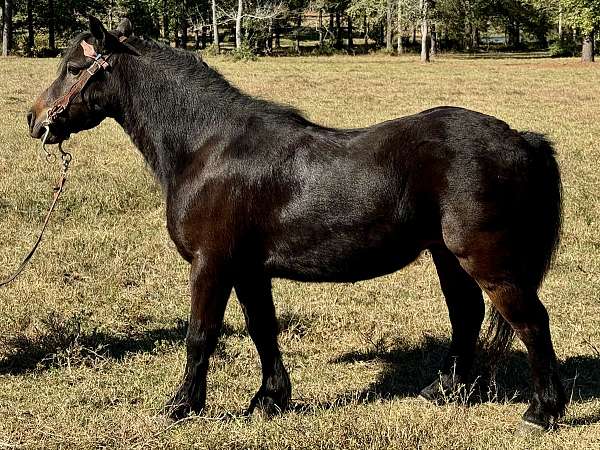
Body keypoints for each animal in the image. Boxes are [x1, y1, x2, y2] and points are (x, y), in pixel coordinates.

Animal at [25, 17, 564, 430]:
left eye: (73, 68)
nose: (34, 120)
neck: (208, 147)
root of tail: (520, 138)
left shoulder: (212, 264)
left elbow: (201, 334)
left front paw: (181, 406)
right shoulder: (248, 269)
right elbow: (262, 329)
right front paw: (270, 399)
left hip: (486, 259)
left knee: (530, 322)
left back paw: (543, 412)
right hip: (447, 256)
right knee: (466, 315)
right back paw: (448, 390)